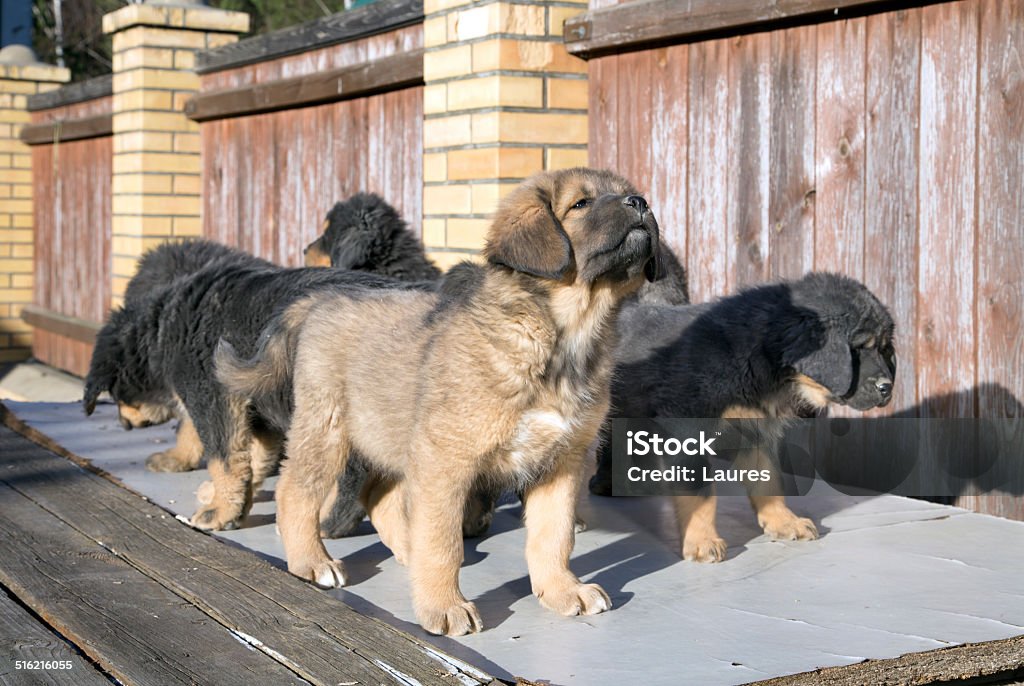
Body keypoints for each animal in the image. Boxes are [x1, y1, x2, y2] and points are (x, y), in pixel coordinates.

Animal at [219, 167, 659, 638]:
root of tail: (319, 300)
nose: (641, 202)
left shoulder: (562, 462)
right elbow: (444, 541)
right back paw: (311, 562)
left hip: (385, 426)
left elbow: (554, 536)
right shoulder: (445, 459)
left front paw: (562, 591)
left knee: (378, 495)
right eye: (580, 204)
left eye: (628, 193)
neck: (564, 337)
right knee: (295, 491)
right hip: (328, 428)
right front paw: (445, 606)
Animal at [593, 272, 897, 565]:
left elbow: (769, 480)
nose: (888, 388)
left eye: (884, 348)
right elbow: (700, 490)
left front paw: (783, 522)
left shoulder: (755, 430)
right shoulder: (688, 427)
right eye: (858, 348)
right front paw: (702, 541)